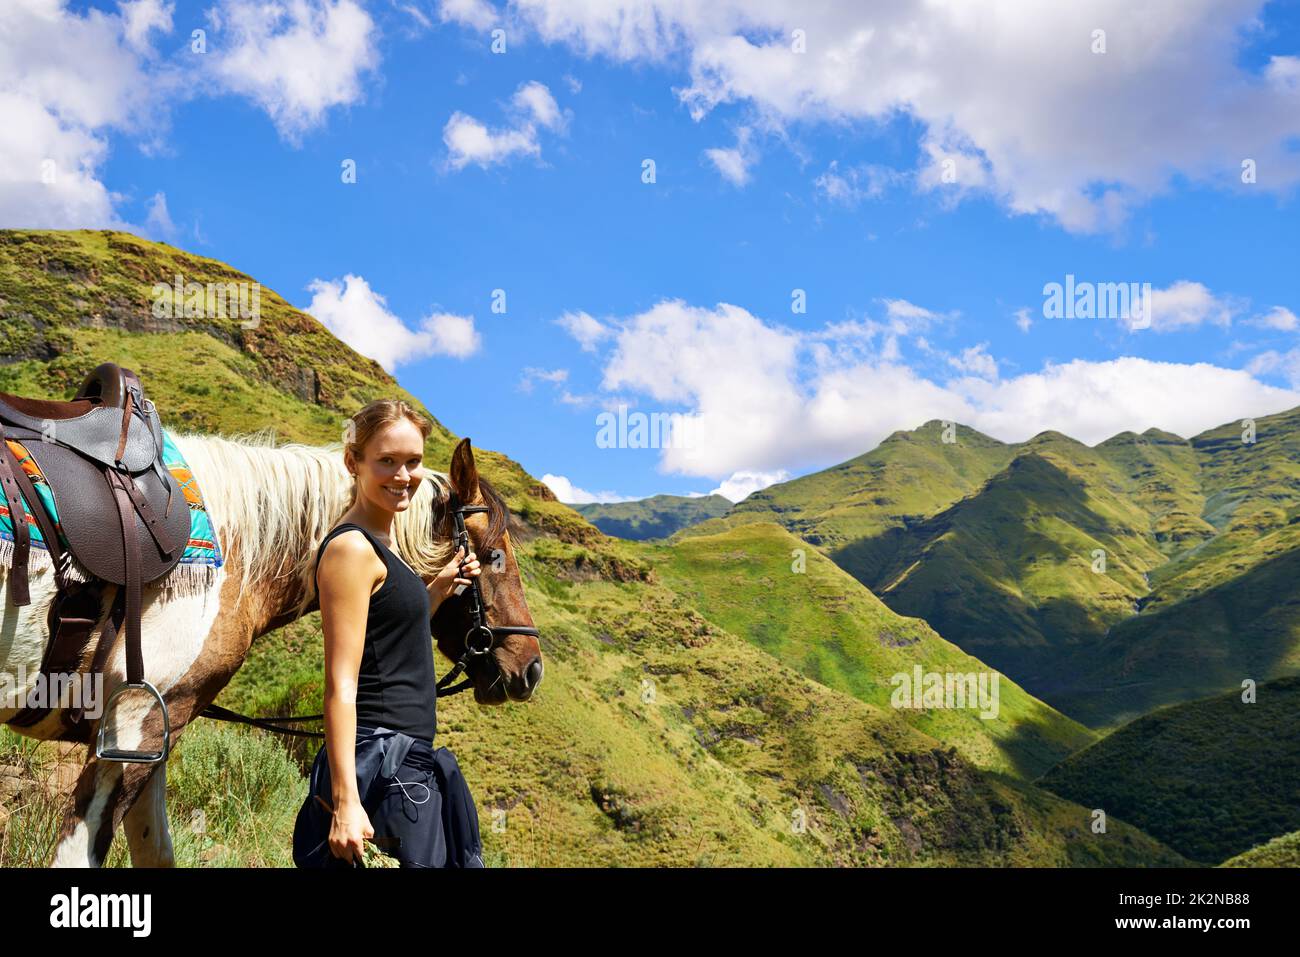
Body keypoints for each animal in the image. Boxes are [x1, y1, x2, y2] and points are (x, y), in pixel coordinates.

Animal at [0, 434, 538, 868]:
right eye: (494, 556)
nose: (531, 668)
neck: (231, 552)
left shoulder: (156, 730)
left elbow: (156, 851)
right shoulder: (132, 725)